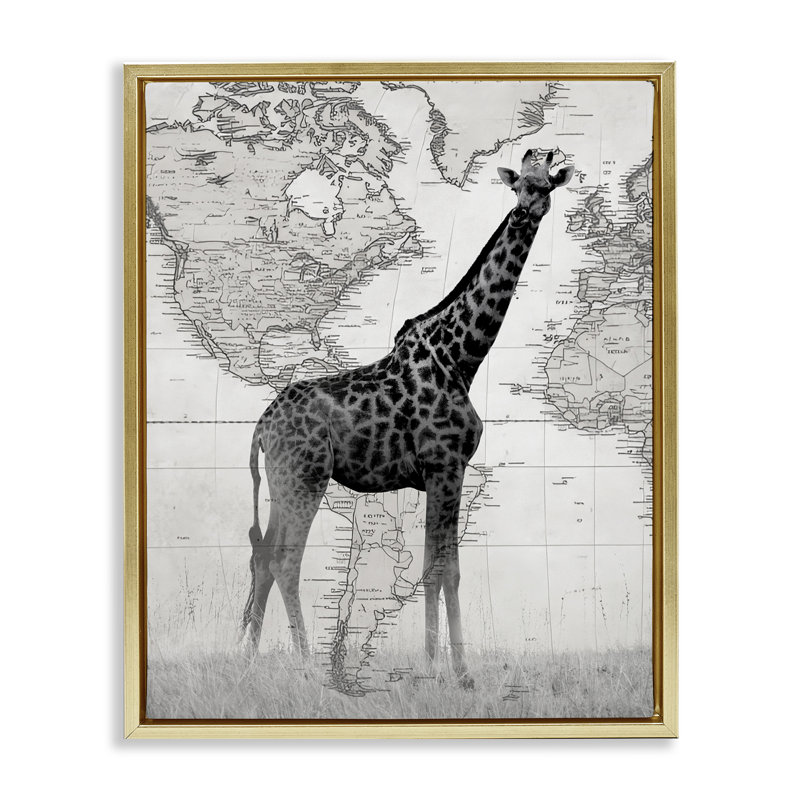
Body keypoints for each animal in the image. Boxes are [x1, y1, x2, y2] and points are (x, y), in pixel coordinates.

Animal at [239, 149, 574, 687]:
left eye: (547, 186)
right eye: (519, 184)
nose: (527, 210)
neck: (463, 356)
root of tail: (260, 430)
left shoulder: (441, 472)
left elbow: (434, 567)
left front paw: (435, 662)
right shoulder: (446, 465)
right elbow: (445, 569)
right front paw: (459, 672)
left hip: (280, 482)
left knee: (263, 557)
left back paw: (248, 659)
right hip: (305, 478)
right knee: (287, 562)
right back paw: (308, 665)